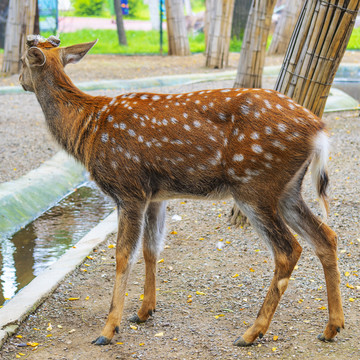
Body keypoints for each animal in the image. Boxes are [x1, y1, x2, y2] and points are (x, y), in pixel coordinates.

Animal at [18, 35, 344, 346]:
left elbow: (123, 255)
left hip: (255, 186)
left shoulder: (128, 189)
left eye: (22, 61)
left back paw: (252, 333)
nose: (19, 81)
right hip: (287, 189)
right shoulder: (155, 196)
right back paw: (332, 327)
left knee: (289, 249)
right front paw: (143, 312)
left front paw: (108, 330)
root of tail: (319, 130)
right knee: (326, 236)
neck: (88, 129)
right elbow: (151, 248)